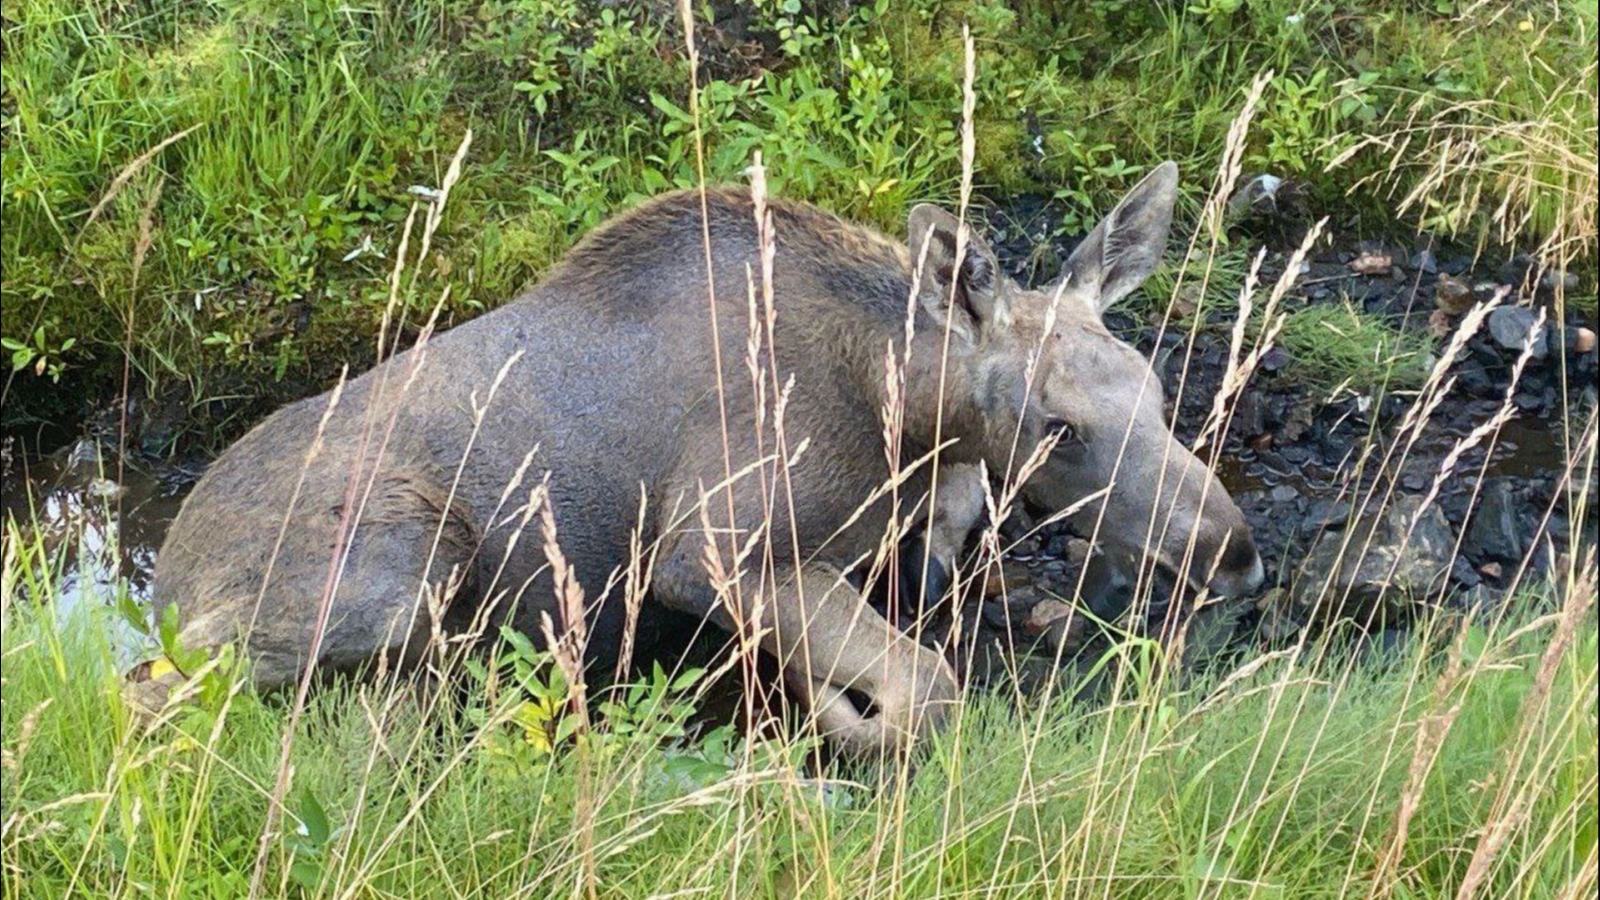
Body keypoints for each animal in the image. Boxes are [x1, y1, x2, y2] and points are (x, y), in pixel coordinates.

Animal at [134, 162, 1260, 749]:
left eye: (1157, 392)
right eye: (1057, 425)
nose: (1234, 553)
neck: (905, 416)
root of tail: (166, 582)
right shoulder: (708, 551)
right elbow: (922, 693)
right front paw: (820, 711)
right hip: (399, 562)